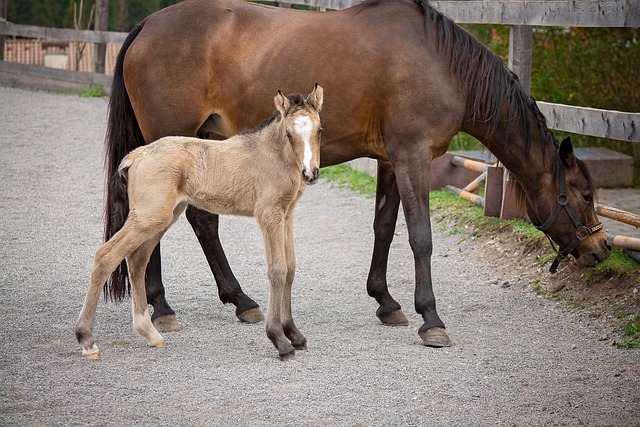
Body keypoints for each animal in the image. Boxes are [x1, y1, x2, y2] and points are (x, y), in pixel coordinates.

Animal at [77, 87, 322, 362]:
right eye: (289, 134)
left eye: (320, 131)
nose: (310, 173)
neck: (271, 154)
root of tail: (136, 155)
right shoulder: (269, 215)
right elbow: (277, 271)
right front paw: (280, 340)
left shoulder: (286, 215)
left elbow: (290, 269)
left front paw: (295, 335)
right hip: (149, 216)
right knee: (106, 256)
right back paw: (87, 341)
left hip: (162, 217)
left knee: (136, 260)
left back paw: (150, 334)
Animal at [105, 0, 608, 348]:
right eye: (583, 193)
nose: (601, 248)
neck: (440, 62)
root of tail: (147, 25)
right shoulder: (413, 158)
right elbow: (420, 237)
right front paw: (431, 318)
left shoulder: (390, 160)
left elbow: (384, 226)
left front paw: (386, 301)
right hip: (171, 149)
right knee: (160, 228)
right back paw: (164, 307)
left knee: (199, 221)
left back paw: (239, 301)